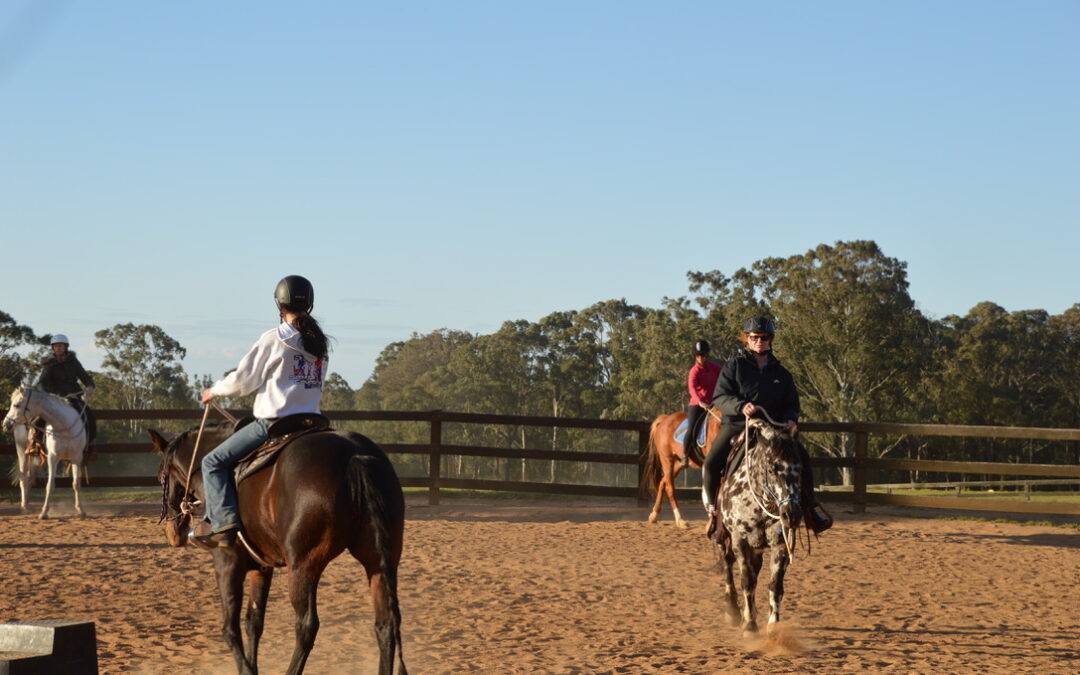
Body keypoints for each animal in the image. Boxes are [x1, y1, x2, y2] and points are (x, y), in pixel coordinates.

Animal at [2, 384, 89, 516]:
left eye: (16, 405)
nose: (5, 424)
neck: (64, 427)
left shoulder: (77, 458)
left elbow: (76, 484)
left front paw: (80, 510)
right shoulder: (53, 458)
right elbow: (50, 486)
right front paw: (44, 512)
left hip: (37, 459)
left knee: (30, 478)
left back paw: (27, 503)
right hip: (22, 452)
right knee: (23, 478)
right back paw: (24, 507)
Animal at [150, 421, 406, 673]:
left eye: (161, 477)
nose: (173, 533)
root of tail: (354, 456)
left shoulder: (226, 561)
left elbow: (230, 628)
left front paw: (246, 669)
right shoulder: (261, 567)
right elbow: (253, 622)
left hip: (303, 566)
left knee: (307, 626)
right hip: (379, 561)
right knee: (386, 623)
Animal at [712, 419, 807, 635]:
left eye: (799, 469)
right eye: (772, 469)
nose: (792, 514)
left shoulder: (780, 544)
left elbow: (775, 585)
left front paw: (773, 625)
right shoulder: (740, 541)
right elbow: (747, 580)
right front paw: (749, 625)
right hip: (725, 536)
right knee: (728, 562)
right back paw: (733, 610)